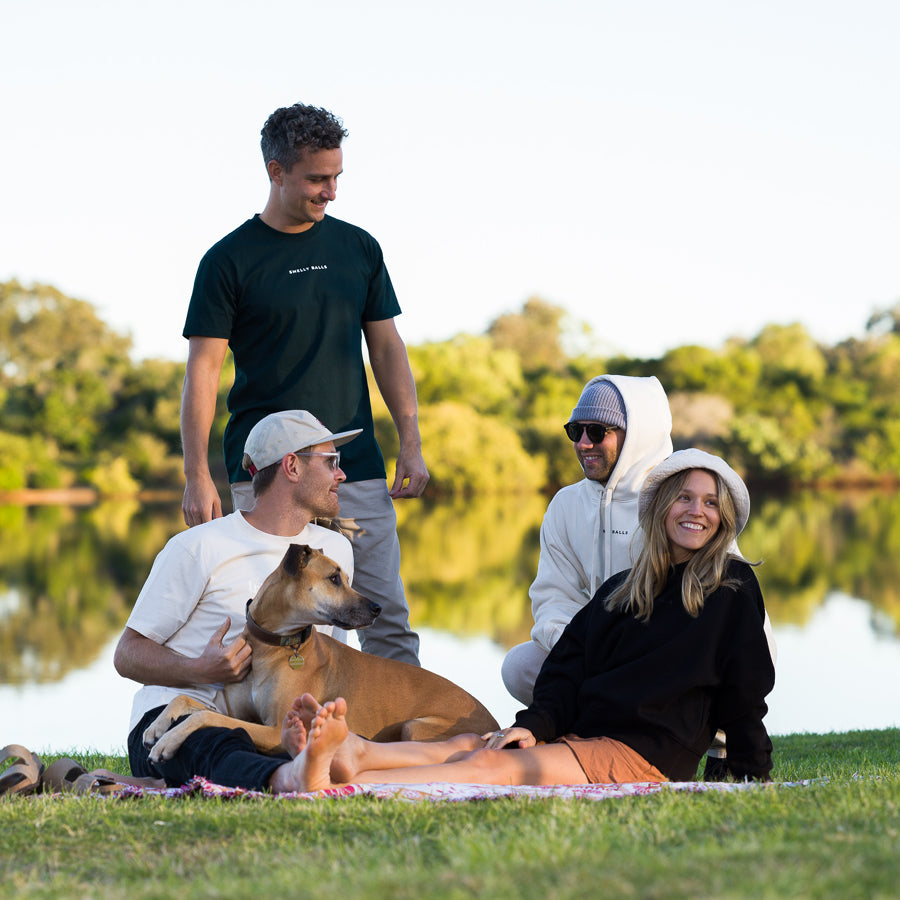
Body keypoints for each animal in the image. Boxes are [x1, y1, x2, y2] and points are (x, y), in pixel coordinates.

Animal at [144, 540, 502, 760]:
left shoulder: (276, 729)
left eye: (344, 577)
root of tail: (497, 726)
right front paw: (157, 727)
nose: (378, 609)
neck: (272, 646)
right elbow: (186, 700)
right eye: (333, 578)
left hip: (417, 726)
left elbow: (204, 715)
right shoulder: (241, 715)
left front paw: (169, 741)